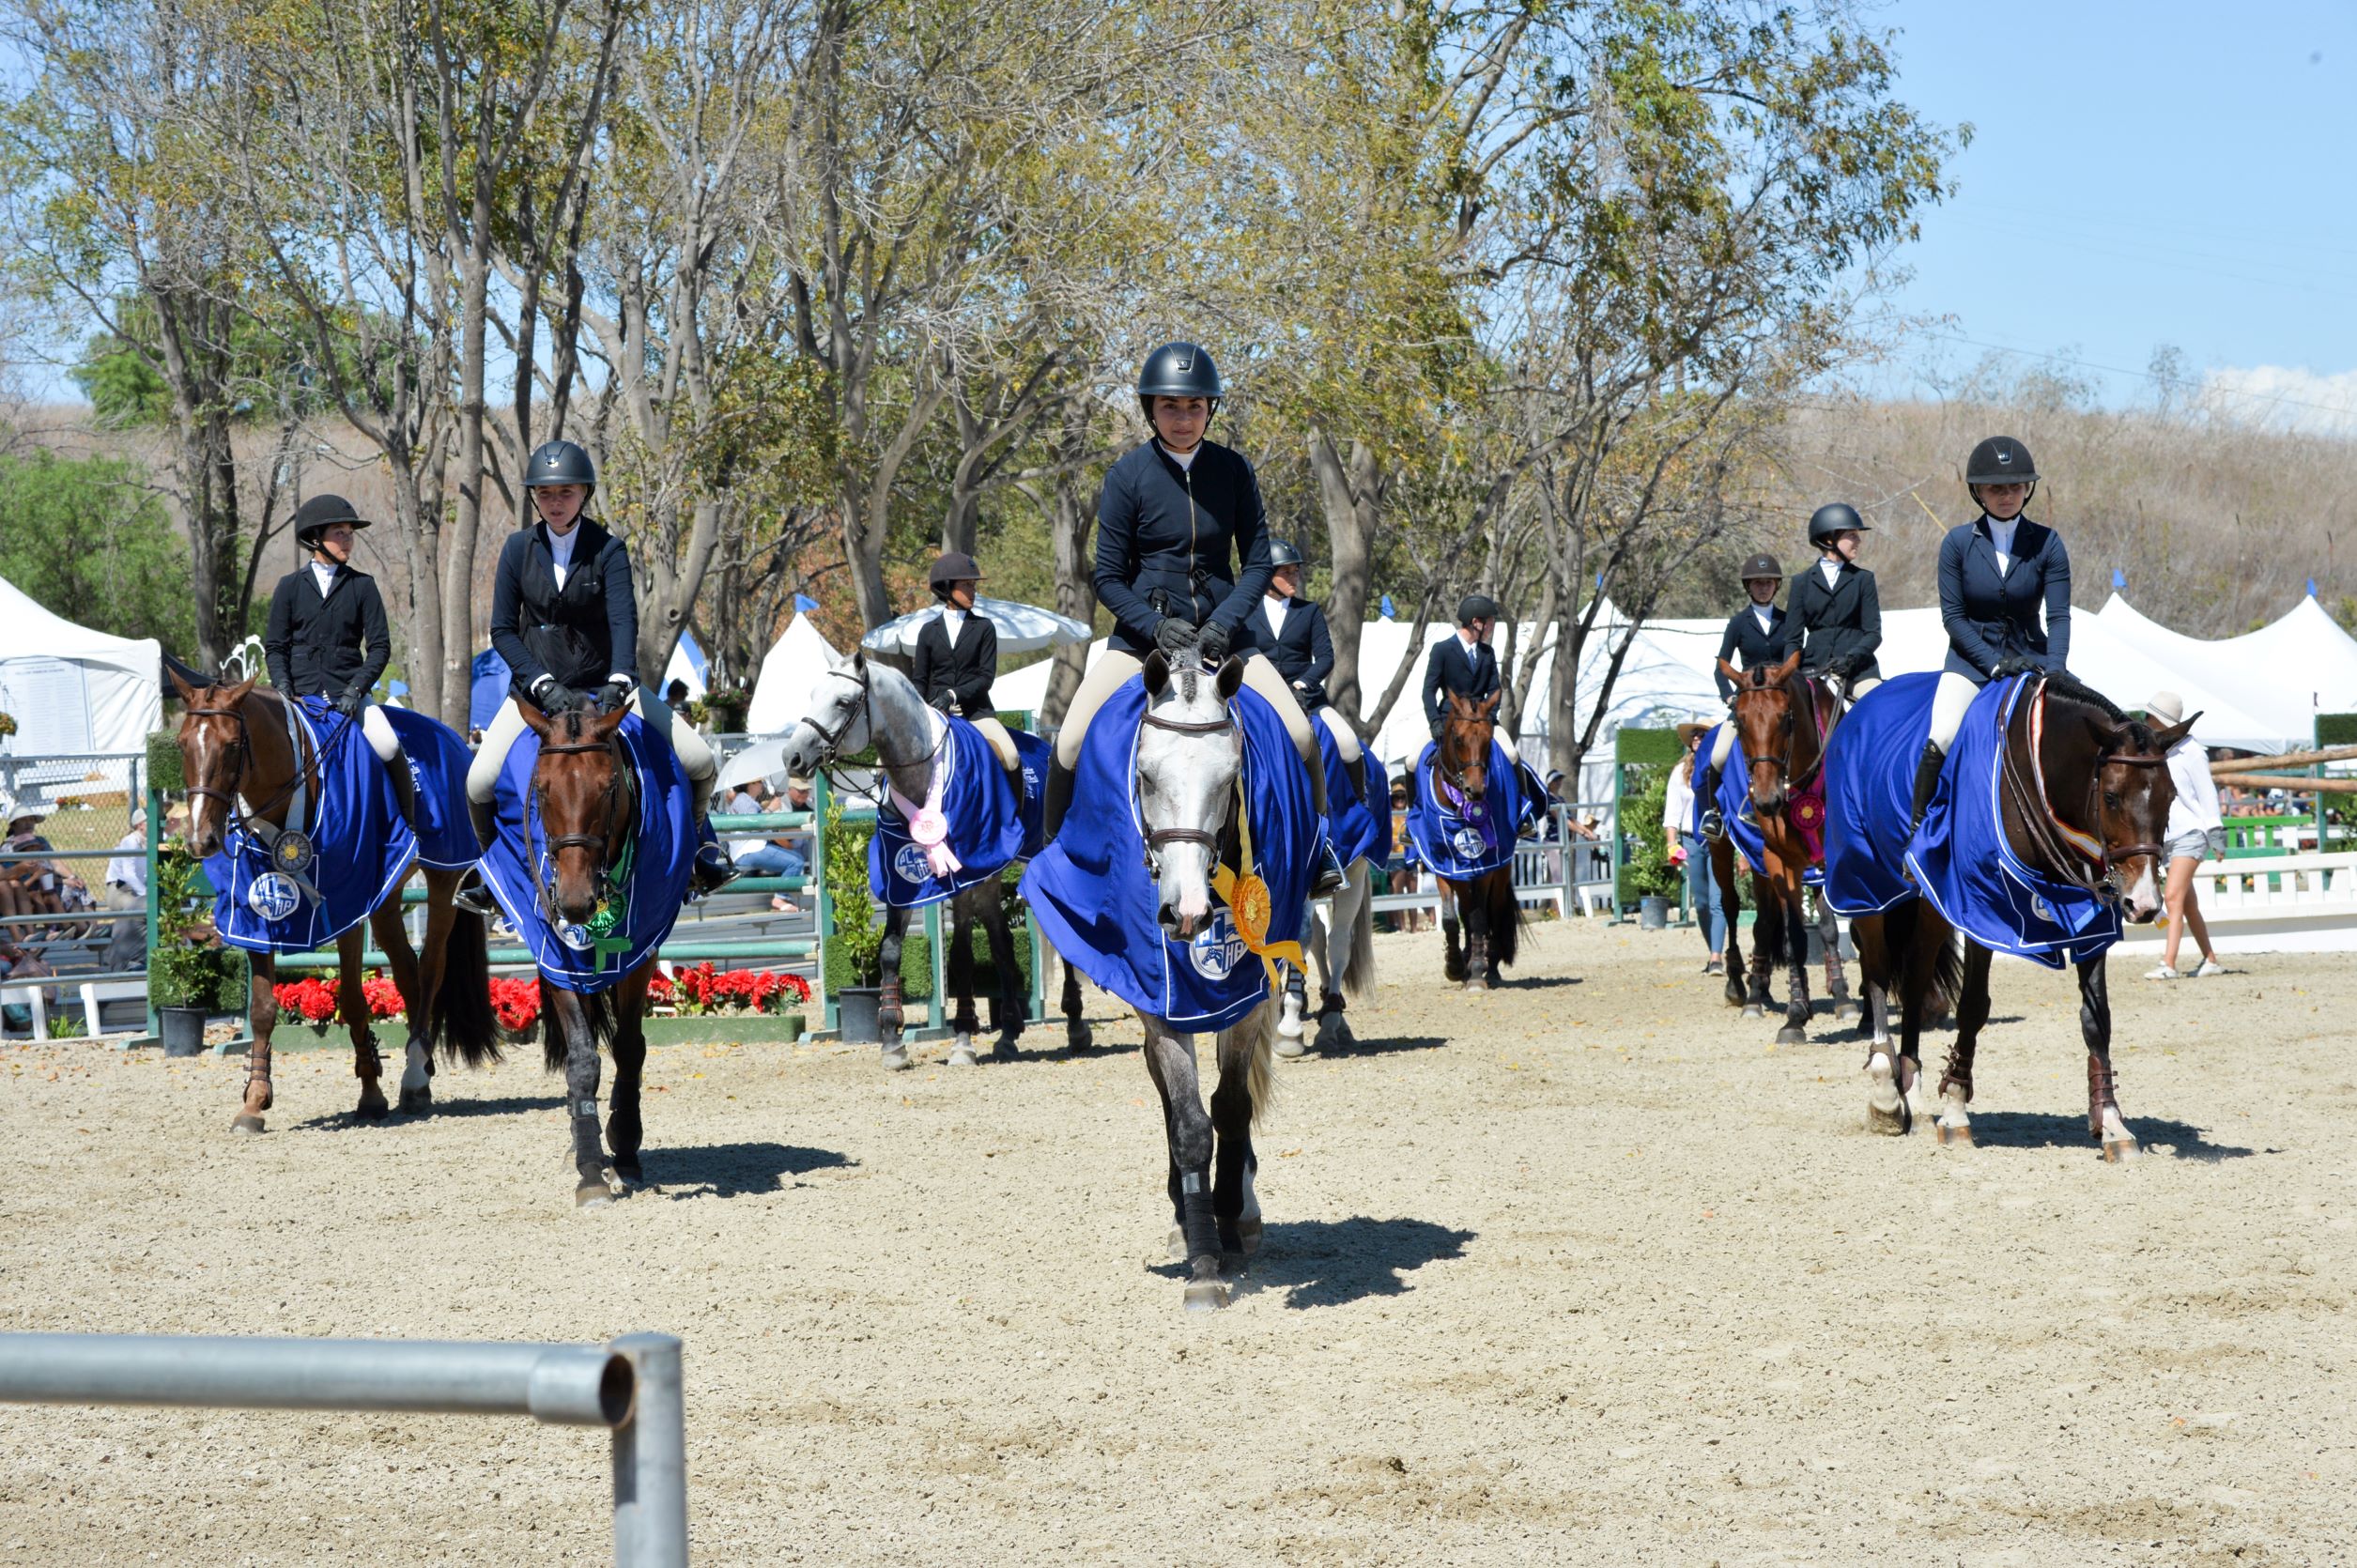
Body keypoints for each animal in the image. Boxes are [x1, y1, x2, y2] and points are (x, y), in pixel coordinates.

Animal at [167, 665, 501, 1131]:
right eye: (182, 744)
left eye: (232, 745)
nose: (201, 840)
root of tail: (457, 741)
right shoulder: (254, 910)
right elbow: (263, 1008)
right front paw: (254, 1101)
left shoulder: (347, 903)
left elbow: (354, 1000)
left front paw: (371, 1093)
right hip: (386, 896)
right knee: (407, 971)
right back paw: (420, 1066)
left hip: (441, 878)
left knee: (431, 967)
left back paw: (414, 1078)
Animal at [782, 646, 1032, 1066]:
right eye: (813, 695)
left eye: (843, 701)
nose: (792, 757)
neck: (921, 771)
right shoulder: (901, 879)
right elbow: (889, 952)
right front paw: (891, 1042)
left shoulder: (961, 880)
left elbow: (960, 956)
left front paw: (962, 1041)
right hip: (989, 880)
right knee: (1001, 943)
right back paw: (1010, 1033)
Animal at [1424, 693, 1517, 990]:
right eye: (1457, 739)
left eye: (1489, 739)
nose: (1474, 790)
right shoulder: (1442, 863)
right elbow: (1451, 919)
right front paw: (1454, 966)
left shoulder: (1486, 867)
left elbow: (1478, 919)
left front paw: (1476, 972)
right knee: (1466, 910)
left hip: (1501, 871)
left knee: (1493, 912)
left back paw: (1491, 968)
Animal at [1716, 646, 1856, 1037]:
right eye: (1740, 720)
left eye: (1784, 718)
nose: (1767, 801)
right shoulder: (1779, 858)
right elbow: (1795, 935)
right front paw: (1797, 1014)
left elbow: (1828, 927)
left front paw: (1842, 997)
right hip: (1727, 853)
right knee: (1737, 910)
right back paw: (1743, 988)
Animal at [1838, 674, 2187, 1160]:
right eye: (2112, 797)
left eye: (2170, 797)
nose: (2144, 904)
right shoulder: (1983, 907)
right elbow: (1972, 1007)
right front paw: (1956, 1110)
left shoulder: (2090, 920)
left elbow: (2097, 1019)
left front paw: (2113, 1124)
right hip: (1867, 885)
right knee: (1875, 972)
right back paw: (1886, 1091)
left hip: (1931, 900)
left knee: (1914, 977)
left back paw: (1913, 1093)